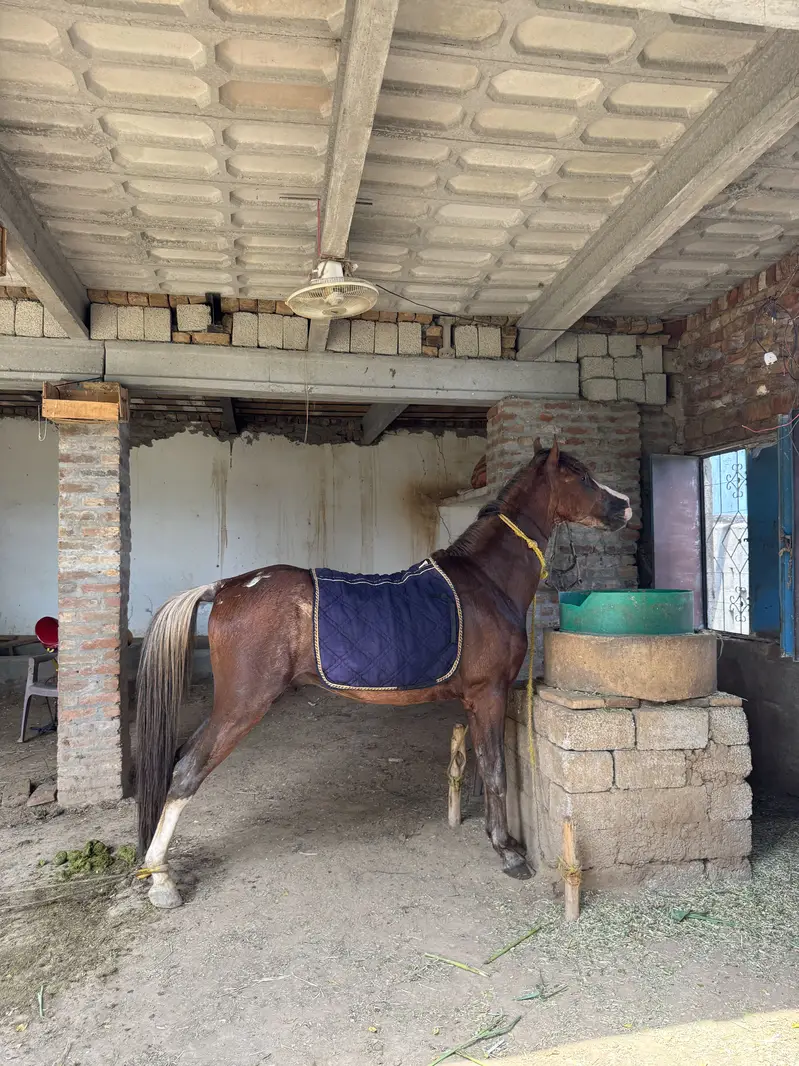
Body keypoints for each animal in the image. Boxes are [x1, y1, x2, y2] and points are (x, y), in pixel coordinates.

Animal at [135, 440, 631, 908]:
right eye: (581, 476)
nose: (624, 505)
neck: (486, 583)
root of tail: (225, 586)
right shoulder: (488, 694)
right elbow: (495, 770)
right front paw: (508, 852)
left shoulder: (475, 701)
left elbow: (482, 765)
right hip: (242, 705)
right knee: (187, 769)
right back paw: (161, 881)